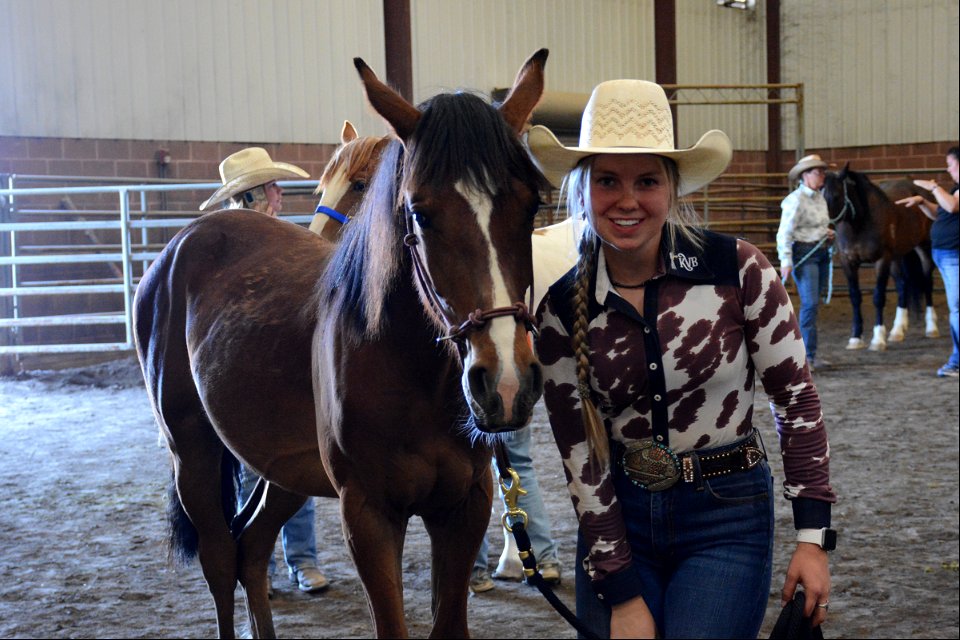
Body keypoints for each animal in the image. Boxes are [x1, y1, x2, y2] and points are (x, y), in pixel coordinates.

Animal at [138, 47, 552, 636]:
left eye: (531, 204)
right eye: (419, 211)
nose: (506, 383)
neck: (411, 371)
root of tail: (180, 246)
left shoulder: (464, 506)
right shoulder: (368, 514)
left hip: (284, 470)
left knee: (251, 547)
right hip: (191, 453)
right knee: (220, 558)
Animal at [824, 166, 936, 350]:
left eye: (836, 196)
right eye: (819, 194)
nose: (825, 228)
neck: (860, 223)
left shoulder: (882, 260)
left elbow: (878, 297)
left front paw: (877, 339)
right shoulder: (848, 262)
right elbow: (855, 297)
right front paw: (855, 338)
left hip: (924, 247)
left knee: (927, 282)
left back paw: (932, 327)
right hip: (897, 256)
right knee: (903, 284)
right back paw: (897, 331)